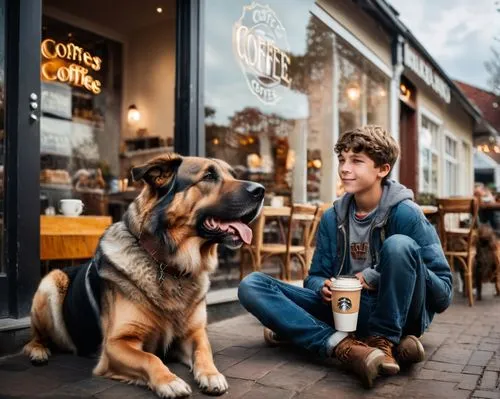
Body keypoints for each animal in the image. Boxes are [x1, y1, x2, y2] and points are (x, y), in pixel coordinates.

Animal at [23, 154, 266, 399]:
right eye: (208, 176)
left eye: (232, 175)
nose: (261, 190)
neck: (169, 265)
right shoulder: (116, 344)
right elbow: (150, 358)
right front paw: (169, 381)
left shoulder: (194, 333)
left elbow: (203, 351)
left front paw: (211, 374)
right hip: (51, 282)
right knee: (35, 337)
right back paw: (38, 351)